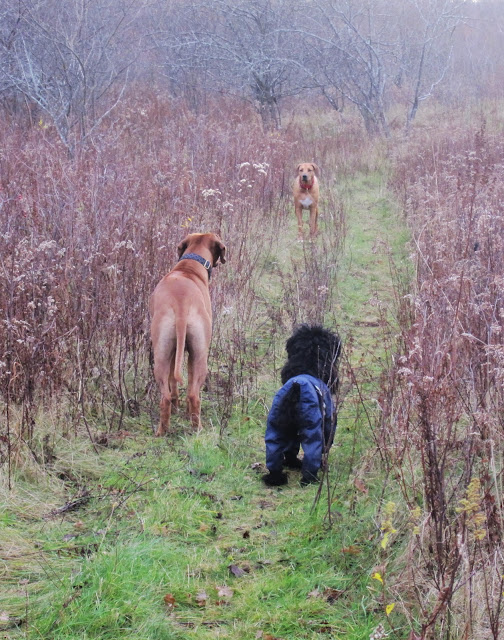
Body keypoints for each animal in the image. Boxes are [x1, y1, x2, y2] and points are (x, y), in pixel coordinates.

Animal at [150, 232, 226, 436]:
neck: (189, 267)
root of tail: (181, 304)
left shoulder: (177, 352)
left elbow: (173, 383)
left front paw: (178, 409)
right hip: (201, 358)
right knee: (194, 394)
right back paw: (197, 429)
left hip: (161, 354)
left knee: (165, 397)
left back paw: (162, 431)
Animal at [262, 325, 341, 486]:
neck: (307, 367)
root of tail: (295, 390)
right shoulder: (328, 421)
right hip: (312, 429)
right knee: (312, 455)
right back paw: (310, 479)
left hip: (277, 428)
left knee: (276, 455)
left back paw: (277, 478)